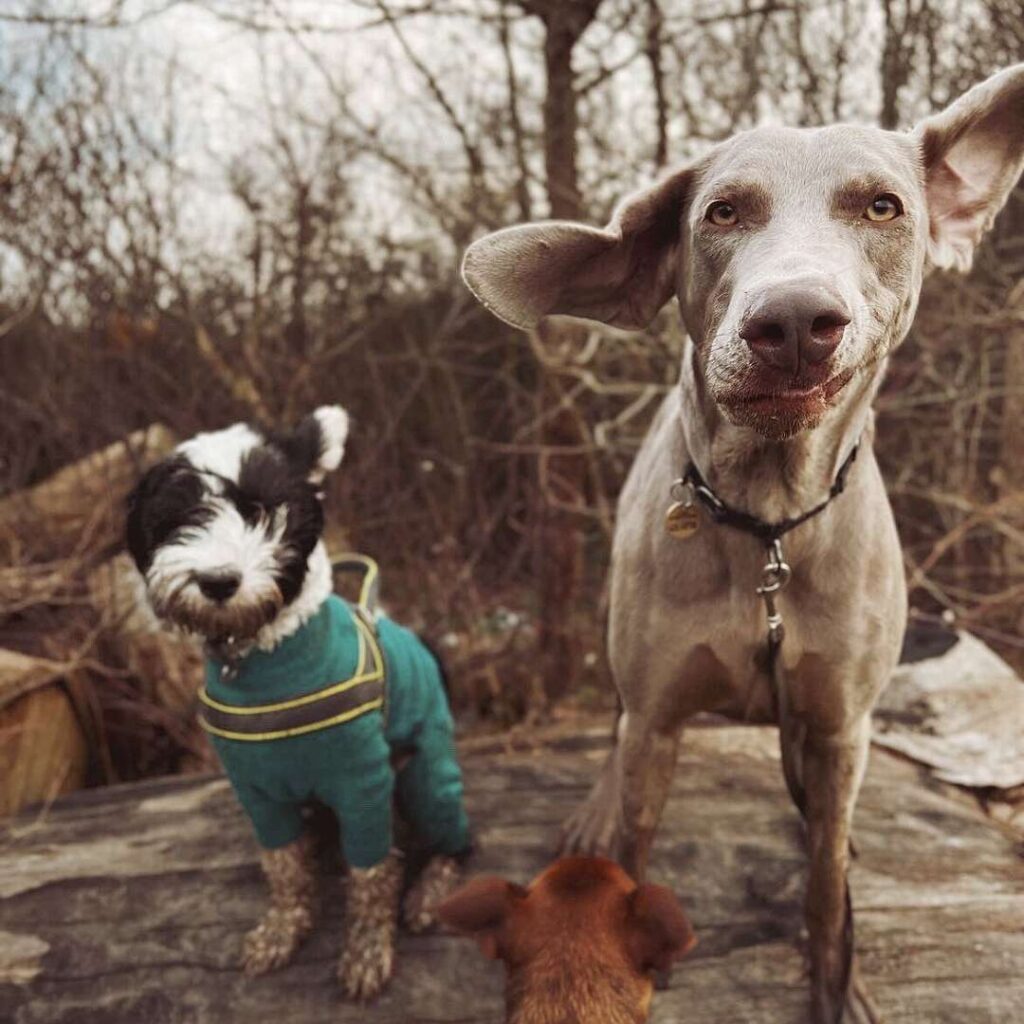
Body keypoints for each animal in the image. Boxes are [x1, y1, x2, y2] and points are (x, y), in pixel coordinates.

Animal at [124, 407, 471, 999]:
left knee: (459, 843)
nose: (218, 581)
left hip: (425, 778)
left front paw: (367, 947)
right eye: (180, 514)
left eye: (264, 508)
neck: (264, 664)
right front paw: (282, 929)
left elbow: (372, 872)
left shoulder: (363, 784)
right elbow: (284, 864)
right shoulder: (257, 791)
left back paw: (430, 891)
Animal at [464, 66, 1024, 1024]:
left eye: (883, 206)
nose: (794, 320)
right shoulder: (657, 722)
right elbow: (630, 848)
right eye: (722, 212)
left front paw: (840, 981)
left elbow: (826, 885)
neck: (768, 521)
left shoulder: (838, 726)